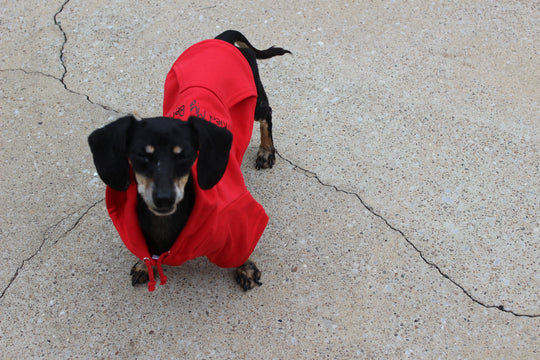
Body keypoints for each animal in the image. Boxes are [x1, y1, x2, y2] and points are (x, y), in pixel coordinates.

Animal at [88, 30, 292, 290]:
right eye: (141, 155)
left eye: (184, 155)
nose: (164, 198)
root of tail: (221, 39)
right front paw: (144, 265)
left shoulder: (237, 213)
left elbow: (241, 245)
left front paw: (246, 268)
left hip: (255, 101)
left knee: (267, 115)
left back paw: (266, 151)